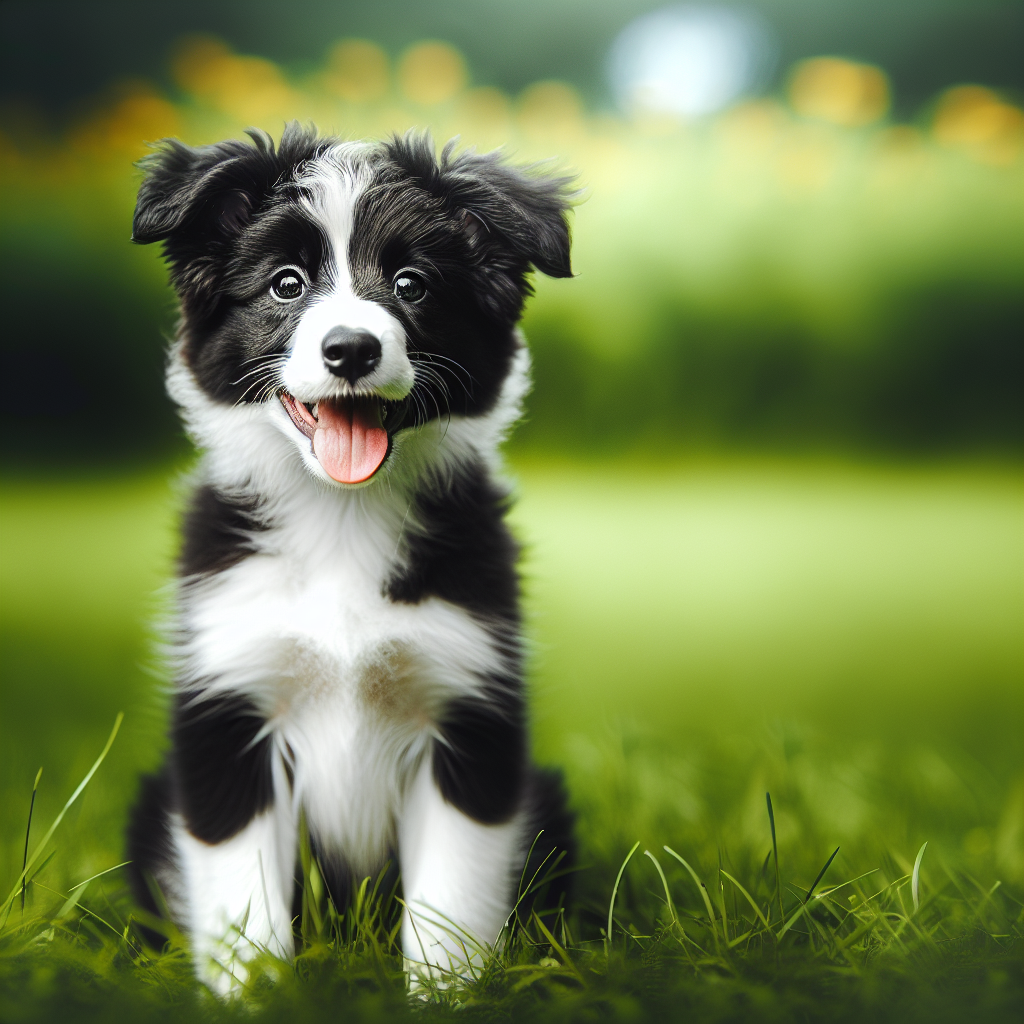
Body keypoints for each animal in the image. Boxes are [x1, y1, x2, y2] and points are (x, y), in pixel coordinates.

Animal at [125, 121, 577, 991]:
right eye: (286, 284)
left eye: (411, 284)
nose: (350, 350)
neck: (341, 517)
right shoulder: (231, 702)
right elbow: (243, 897)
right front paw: (254, 994)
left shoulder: (466, 705)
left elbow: (451, 898)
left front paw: (445, 994)